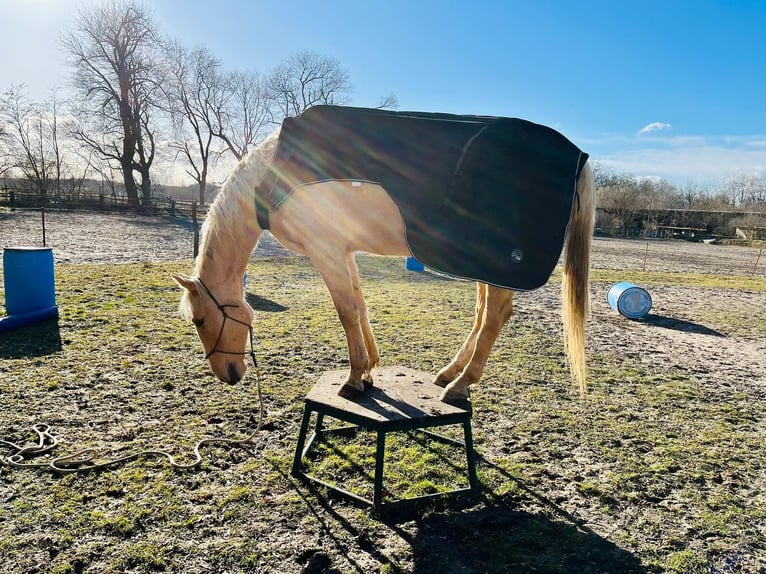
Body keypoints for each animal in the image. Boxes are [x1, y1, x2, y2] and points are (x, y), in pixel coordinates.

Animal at [174, 109, 600, 404]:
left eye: (199, 320)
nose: (228, 374)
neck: (276, 171)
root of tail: (578, 157)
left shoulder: (325, 251)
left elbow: (346, 312)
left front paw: (354, 378)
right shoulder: (343, 251)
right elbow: (359, 306)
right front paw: (368, 372)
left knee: (493, 318)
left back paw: (460, 386)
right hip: (482, 266)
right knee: (484, 316)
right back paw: (449, 374)